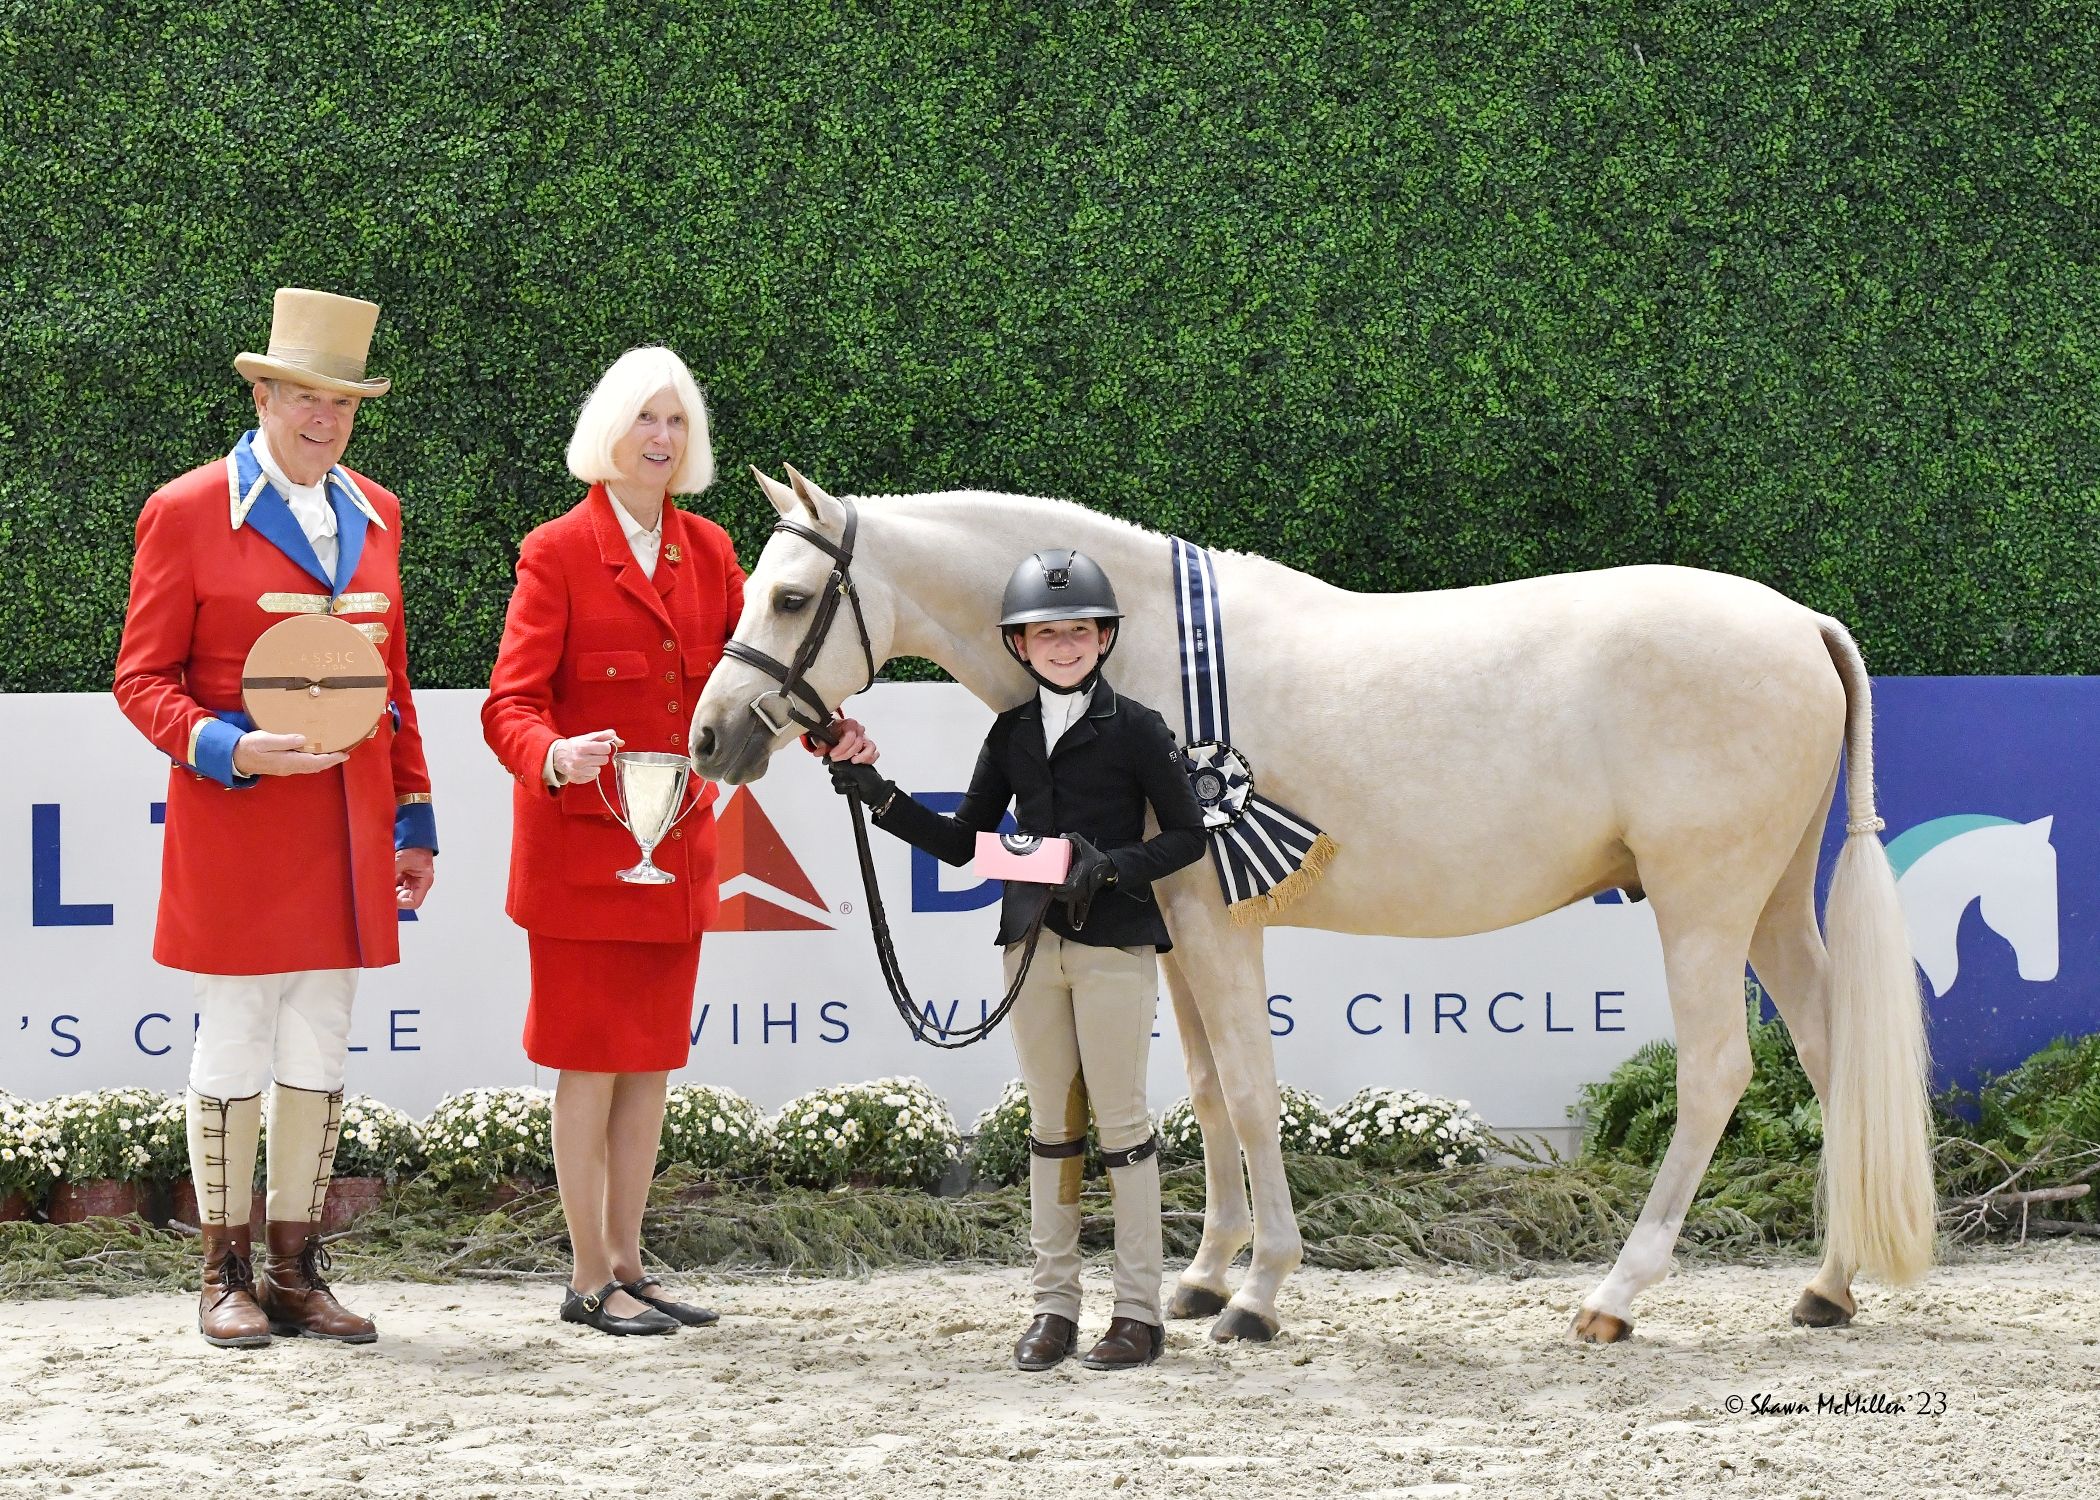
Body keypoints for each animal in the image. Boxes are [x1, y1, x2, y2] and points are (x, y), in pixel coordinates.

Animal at [688, 466, 1931, 1344]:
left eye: (790, 597)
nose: (711, 736)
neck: (1140, 653)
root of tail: (1802, 624)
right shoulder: (1173, 929)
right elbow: (1202, 1093)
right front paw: (1201, 1279)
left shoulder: (1216, 921)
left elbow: (1247, 1088)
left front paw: (1259, 1294)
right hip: (1772, 906)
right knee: (1831, 1055)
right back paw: (1827, 1288)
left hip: (1701, 905)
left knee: (1718, 1071)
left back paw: (1617, 1295)